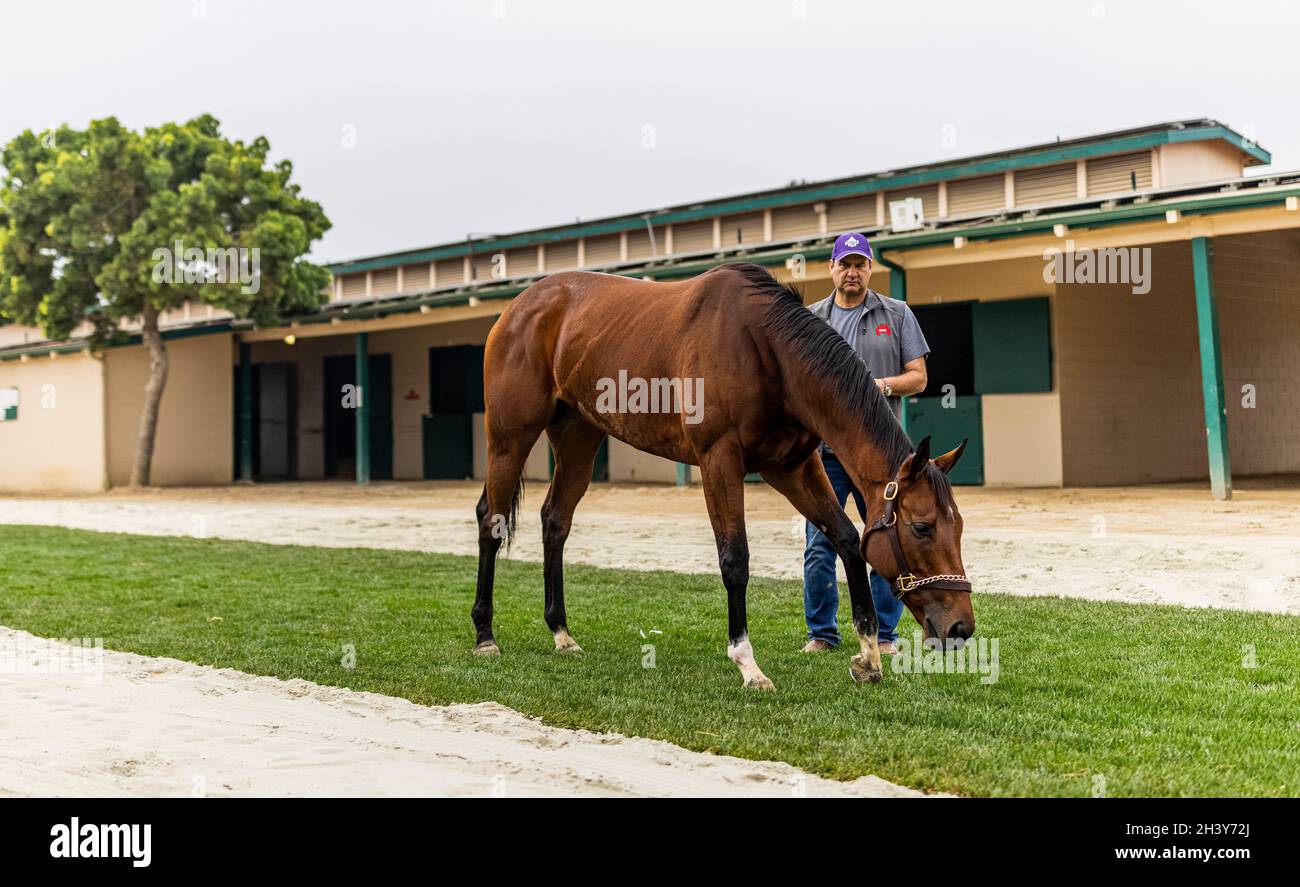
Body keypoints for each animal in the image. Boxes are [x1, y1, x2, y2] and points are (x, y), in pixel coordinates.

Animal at [473, 262, 972, 691]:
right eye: (922, 527)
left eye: (959, 527)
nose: (962, 626)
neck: (766, 350)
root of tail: (520, 307)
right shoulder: (720, 460)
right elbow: (736, 558)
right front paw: (748, 665)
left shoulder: (792, 467)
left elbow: (847, 538)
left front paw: (867, 657)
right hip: (509, 436)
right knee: (490, 520)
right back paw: (485, 636)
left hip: (578, 437)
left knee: (555, 521)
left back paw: (561, 633)